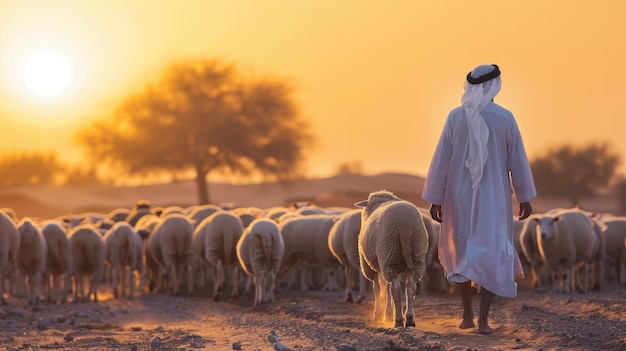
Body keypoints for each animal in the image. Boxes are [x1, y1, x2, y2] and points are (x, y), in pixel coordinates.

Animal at [356, 191, 428, 328]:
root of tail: (405, 228)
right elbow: (387, 288)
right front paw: (389, 313)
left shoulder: (373, 267)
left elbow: (378, 289)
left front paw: (380, 314)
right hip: (416, 254)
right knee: (410, 287)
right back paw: (409, 319)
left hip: (388, 255)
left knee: (396, 289)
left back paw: (398, 320)